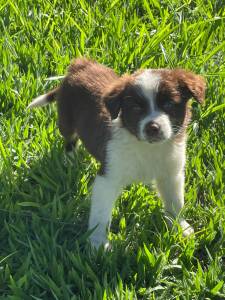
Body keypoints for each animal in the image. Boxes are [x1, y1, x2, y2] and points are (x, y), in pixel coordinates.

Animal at [28, 58, 206, 248]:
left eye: (168, 104)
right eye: (136, 108)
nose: (152, 128)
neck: (147, 147)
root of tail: (80, 64)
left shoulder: (172, 173)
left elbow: (176, 202)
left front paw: (180, 227)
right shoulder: (108, 177)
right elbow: (100, 214)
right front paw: (98, 243)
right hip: (66, 118)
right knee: (69, 140)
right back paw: (70, 161)